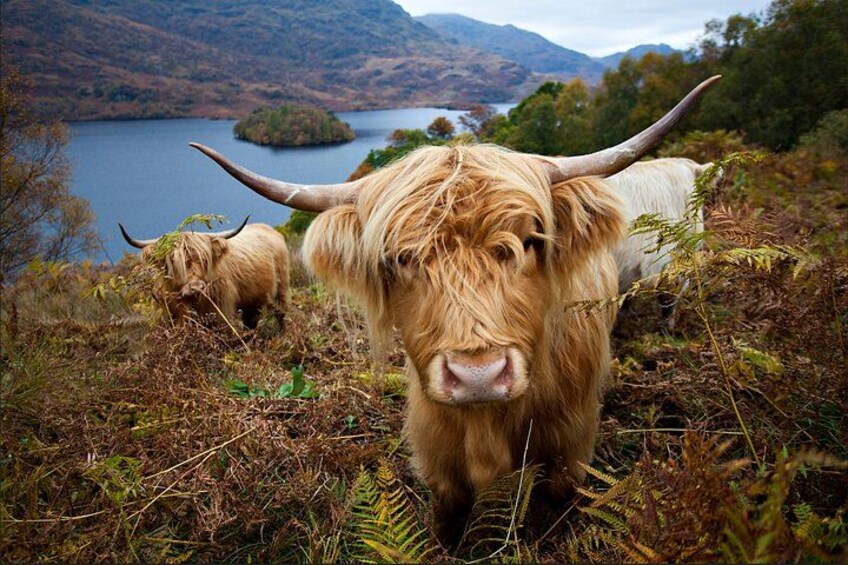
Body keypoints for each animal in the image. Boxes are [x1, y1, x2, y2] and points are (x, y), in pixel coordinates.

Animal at [119, 218, 289, 329]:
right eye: (174, 262)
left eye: (204, 259)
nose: (196, 286)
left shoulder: (222, 311)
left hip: (281, 288)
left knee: (281, 313)